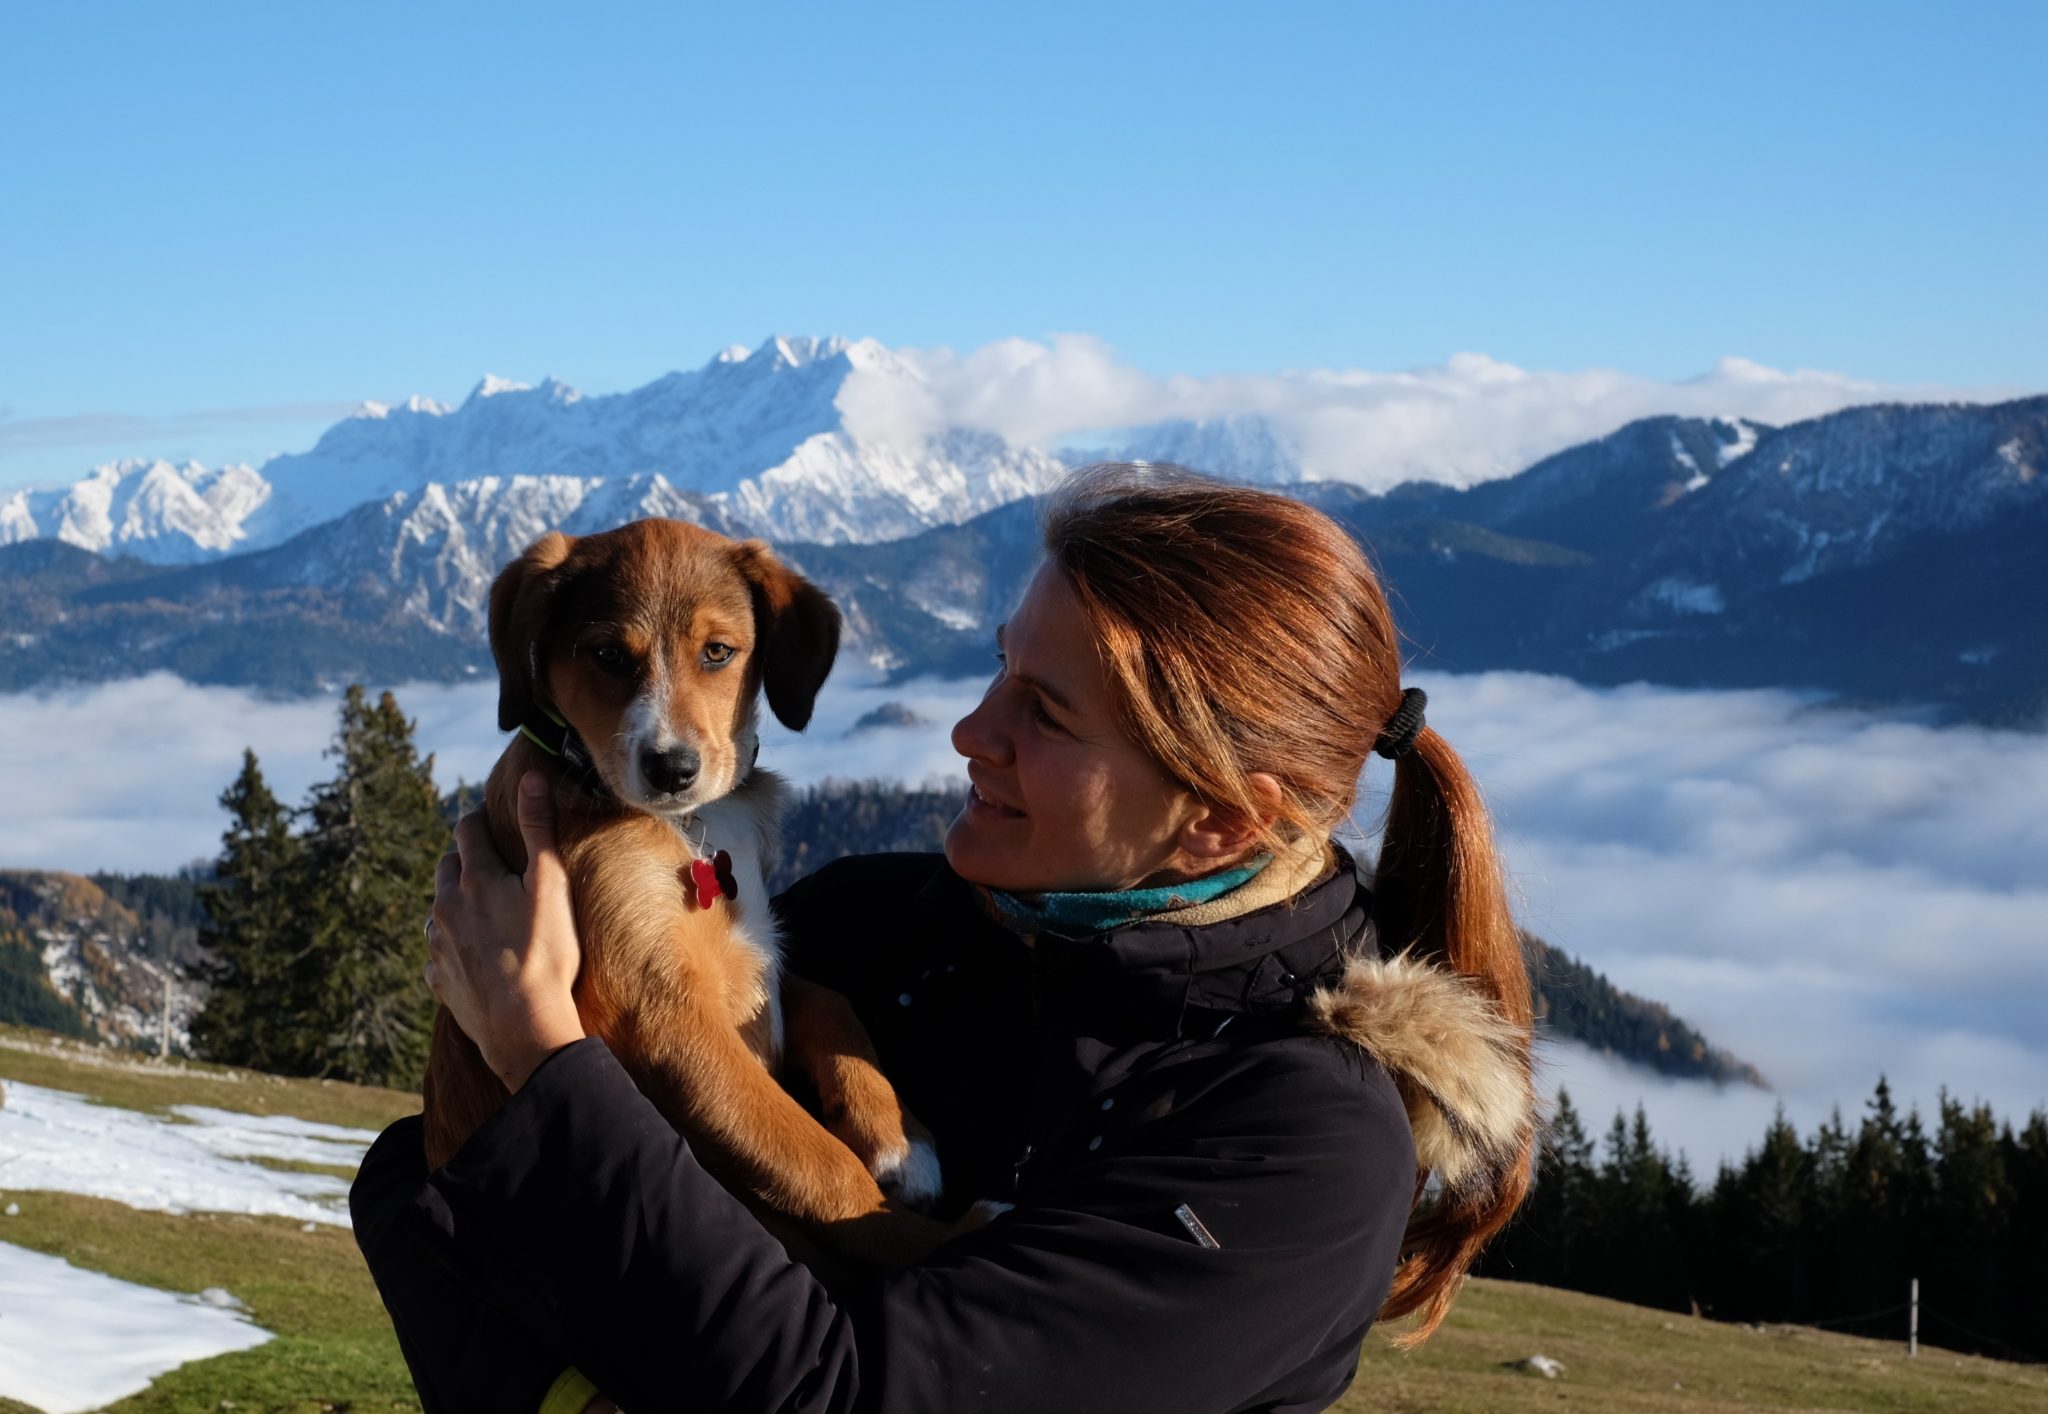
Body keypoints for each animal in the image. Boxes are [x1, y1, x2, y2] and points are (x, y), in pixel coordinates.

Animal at [430, 520, 950, 1270]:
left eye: (717, 652)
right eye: (608, 655)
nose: (672, 768)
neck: (687, 826)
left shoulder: (764, 958)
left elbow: (832, 1003)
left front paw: (902, 1142)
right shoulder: (657, 1012)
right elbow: (815, 1161)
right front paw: (944, 1236)